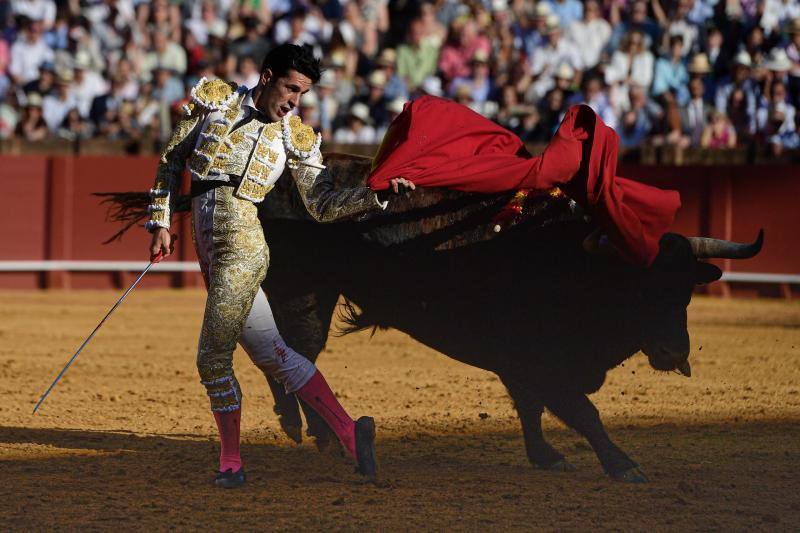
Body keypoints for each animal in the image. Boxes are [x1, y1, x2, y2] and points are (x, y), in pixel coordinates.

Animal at [255, 155, 764, 482]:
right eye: (638, 287)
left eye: (686, 291)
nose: (673, 352)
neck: (569, 262)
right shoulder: (536, 360)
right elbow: (581, 410)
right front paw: (623, 465)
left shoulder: (521, 364)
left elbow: (531, 407)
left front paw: (544, 456)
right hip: (302, 294)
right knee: (294, 354)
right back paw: (314, 431)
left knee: (289, 355)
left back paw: (308, 429)